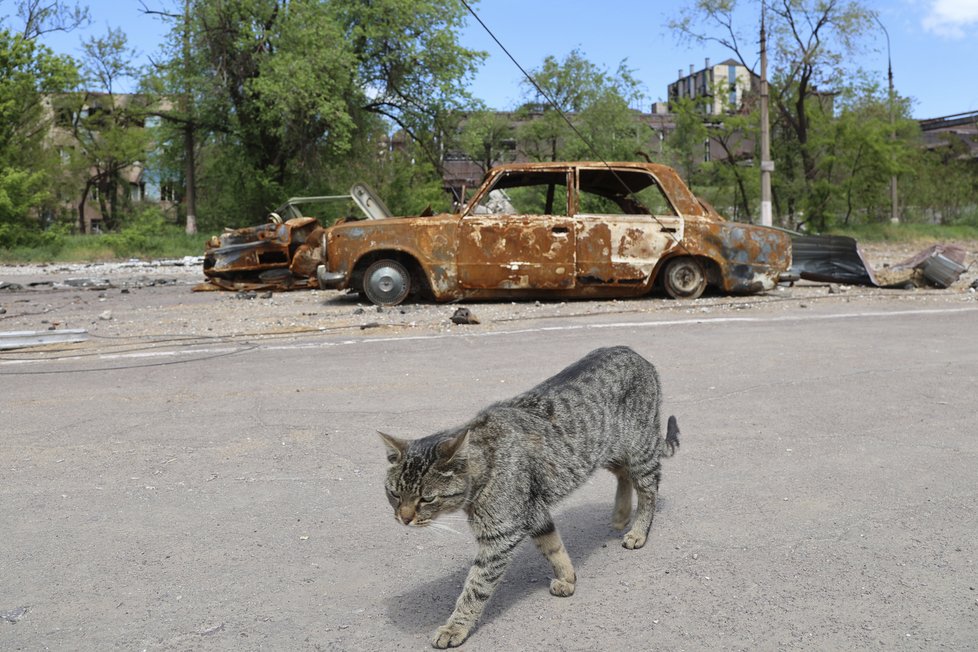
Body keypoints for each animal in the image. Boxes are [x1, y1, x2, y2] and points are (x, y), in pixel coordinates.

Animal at [380, 346, 680, 648]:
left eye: (426, 499)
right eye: (394, 494)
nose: (403, 519)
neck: (486, 466)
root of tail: (632, 351)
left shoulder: (501, 534)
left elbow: (475, 587)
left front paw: (455, 627)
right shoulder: (535, 513)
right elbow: (553, 546)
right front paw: (567, 578)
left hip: (640, 447)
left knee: (649, 487)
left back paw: (638, 531)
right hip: (605, 450)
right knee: (623, 474)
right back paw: (620, 514)